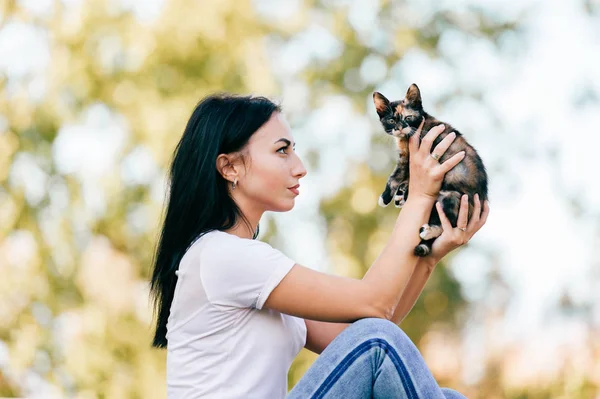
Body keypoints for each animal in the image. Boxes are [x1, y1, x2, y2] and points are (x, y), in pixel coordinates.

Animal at [376, 85, 488, 260]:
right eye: (391, 120)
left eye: (408, 117)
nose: (400, 127)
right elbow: (407, 178)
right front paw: (402, 195)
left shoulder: (407, 158)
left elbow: (395, 176)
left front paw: (386, 197)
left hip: (450, 196)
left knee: (449, 223)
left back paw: (429, 231)